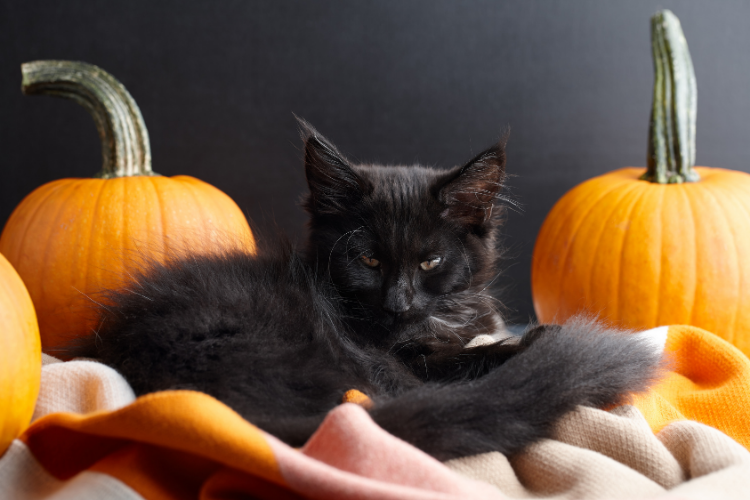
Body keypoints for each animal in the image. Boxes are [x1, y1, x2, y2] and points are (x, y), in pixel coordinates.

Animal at [75, 122, 664, 460]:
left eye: (430, 260)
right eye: (369, 259)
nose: (398, 302)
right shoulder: (402, 359)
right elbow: (470, 356)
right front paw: (534, 339)